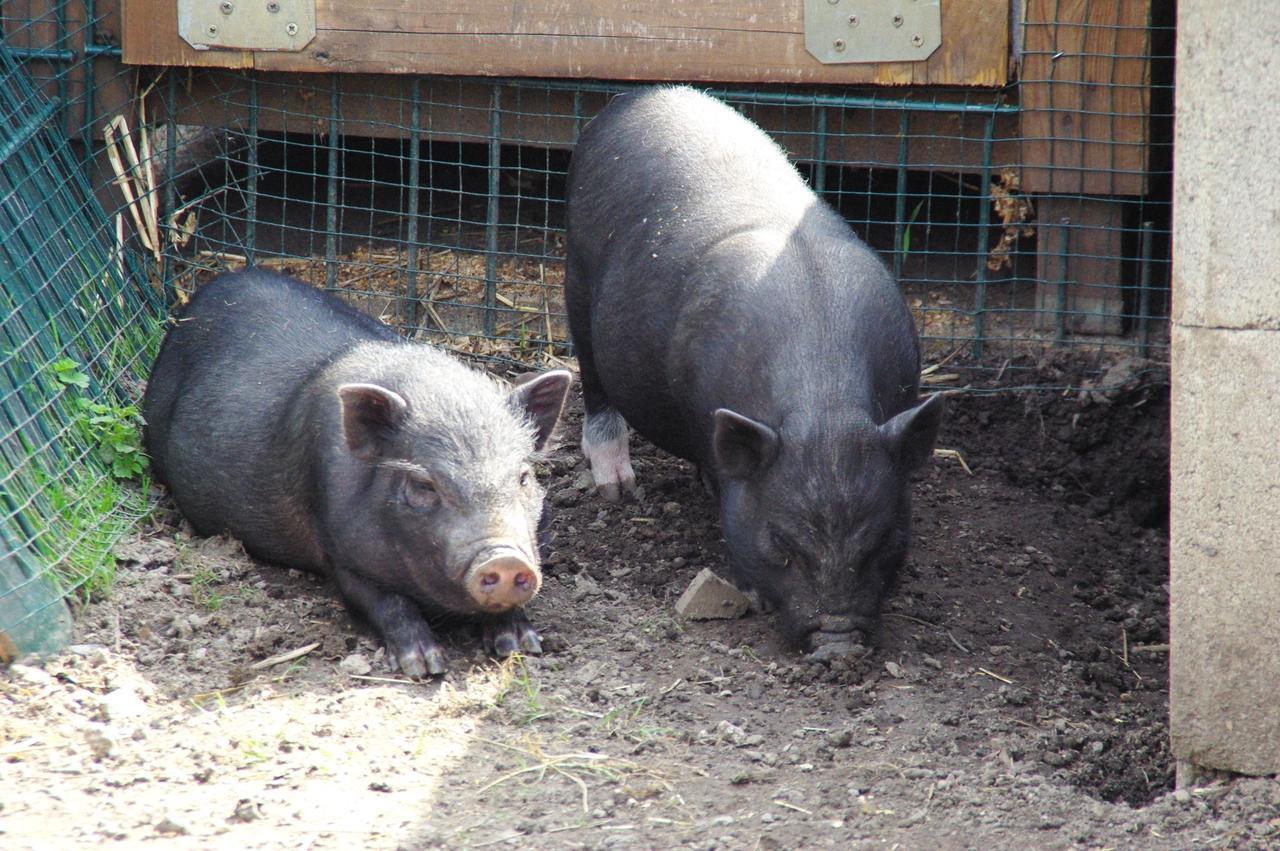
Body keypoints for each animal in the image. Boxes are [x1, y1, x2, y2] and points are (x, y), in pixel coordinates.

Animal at [141, 268, 576, 675]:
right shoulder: (337, 548)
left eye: (523, 477)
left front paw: (523, 646)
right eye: (423, 484)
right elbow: (384, 602)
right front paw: (424, 665)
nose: (504, 560)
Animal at [565, 86, 947, 652]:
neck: (824, 405)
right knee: (592, 383)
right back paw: (618, 487)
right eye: (781, 545)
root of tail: (636, 96)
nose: (837, 643)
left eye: (881, 543)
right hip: (576, 276)